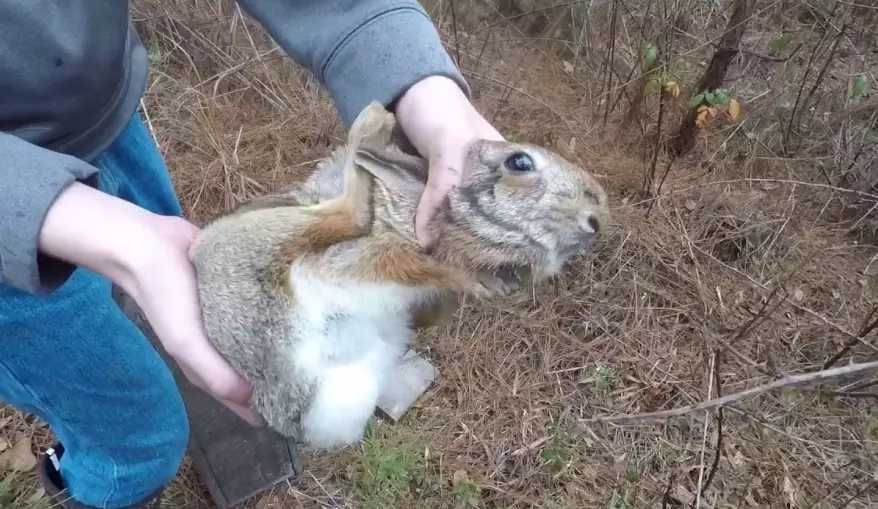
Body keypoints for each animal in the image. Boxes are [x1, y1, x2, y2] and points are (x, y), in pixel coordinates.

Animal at [189, 101, 610, 449]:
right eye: (520, 163)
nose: (597, 216)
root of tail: (295, 408)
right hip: (246, 247)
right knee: (349, 212)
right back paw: (372, 124)